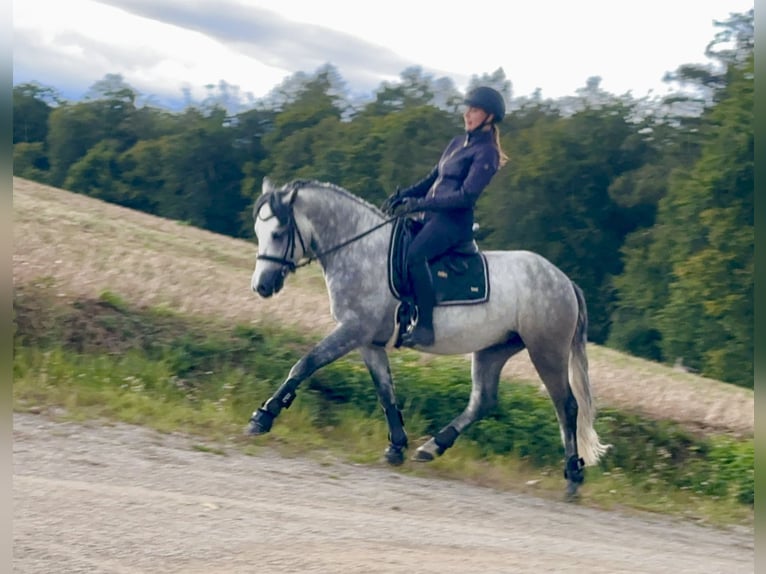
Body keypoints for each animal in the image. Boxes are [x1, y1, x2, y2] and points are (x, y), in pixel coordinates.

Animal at [249, 178, 608, 498]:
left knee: (567, 406)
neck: (362, 250)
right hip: (493, 349)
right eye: (258, 232)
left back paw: (573, 477)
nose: (261, 286)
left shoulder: (352, 330)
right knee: (483, 400)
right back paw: (432, 447)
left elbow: (305, 364)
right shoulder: (368, 342)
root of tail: (564, 281)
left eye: (278, 234)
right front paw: (396, 446)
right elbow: (385, 391)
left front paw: (263, 417)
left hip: (546, 350)